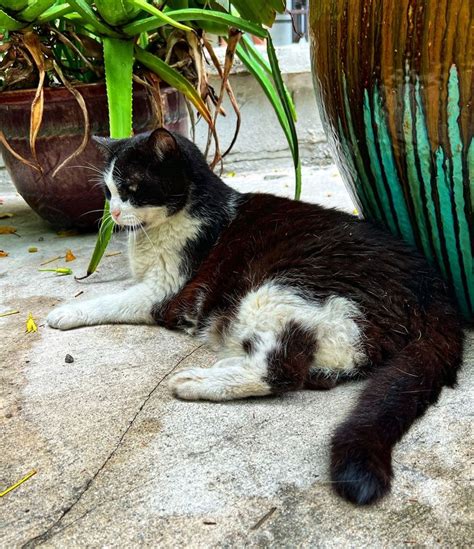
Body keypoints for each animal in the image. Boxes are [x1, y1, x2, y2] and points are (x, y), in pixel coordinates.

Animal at [47, 128, 462, 506]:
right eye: (107, 193)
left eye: (132, 188)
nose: (115, 214)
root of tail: (435, 290)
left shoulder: (164, 292)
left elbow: (112, 300)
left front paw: (66, 311)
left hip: (280, 289)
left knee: (284, 370)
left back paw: (197, 381)